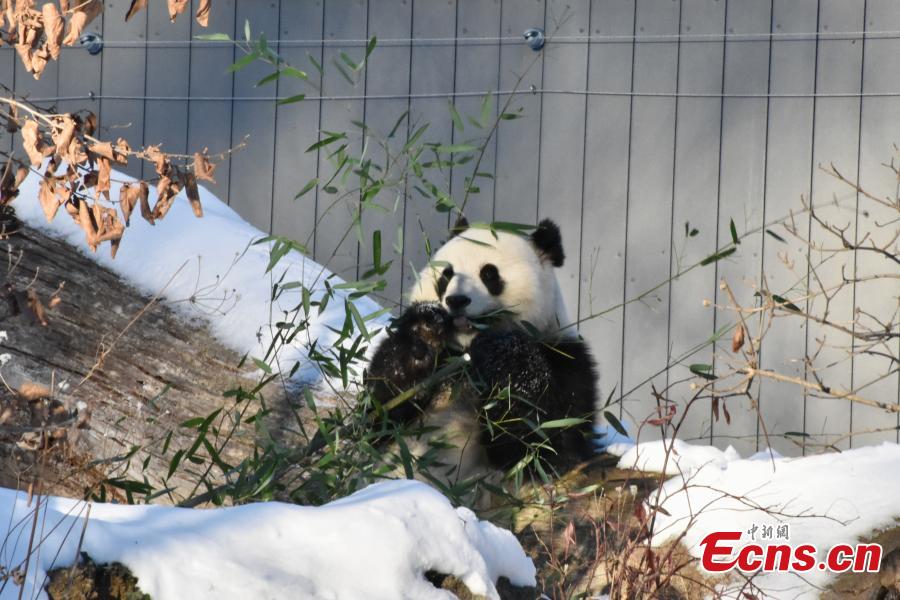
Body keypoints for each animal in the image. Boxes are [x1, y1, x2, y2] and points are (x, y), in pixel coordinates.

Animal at [364, 217, 598, 488]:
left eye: (489, 274)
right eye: (446, 275)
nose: (456, 300)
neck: (465, 353)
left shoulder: (566, 359)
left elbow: (545, 441)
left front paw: (503, 350)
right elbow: (378, 416)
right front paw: (423, 331)